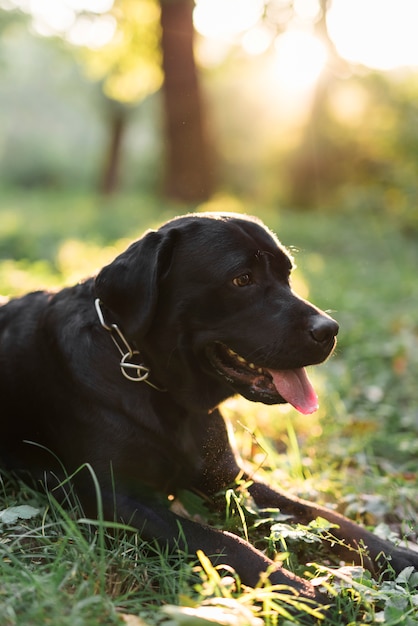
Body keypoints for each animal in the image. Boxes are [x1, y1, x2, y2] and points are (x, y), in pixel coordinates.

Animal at [0, 212, 416, 604]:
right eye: (242, 279)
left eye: (287, 275)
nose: (329, 330)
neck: (154, 382)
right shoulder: (116, 499)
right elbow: (224, 542)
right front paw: (306, 595)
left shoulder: (229, 478)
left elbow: (325, 517)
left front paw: (400, 555)